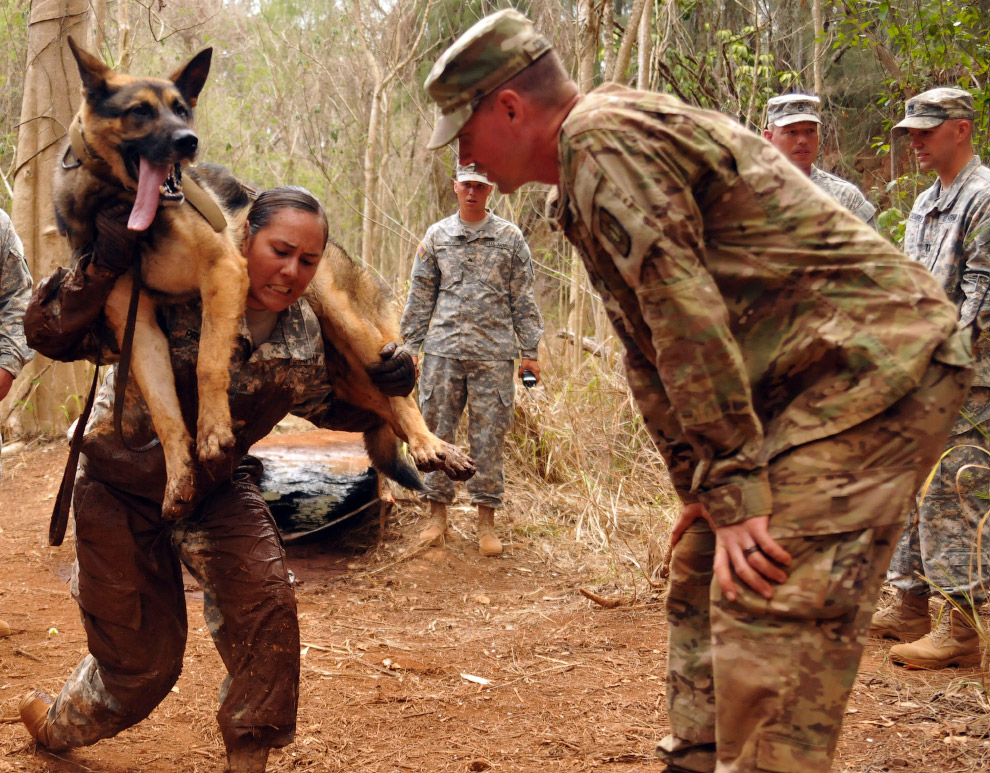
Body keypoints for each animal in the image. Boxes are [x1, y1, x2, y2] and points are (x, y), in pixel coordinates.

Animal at [56, 37, 474, 520]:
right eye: (139, 111)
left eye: (182, 110)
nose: (189, 142)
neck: (128, 216)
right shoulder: (136, 324)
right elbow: (165, 413)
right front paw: (179, 475)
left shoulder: (224, 269)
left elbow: (208, 363)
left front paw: (213, 429)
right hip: (349, 379)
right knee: (380, 411)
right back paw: (440, 451)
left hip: (347, 321)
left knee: (401, 395)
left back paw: (430, 444)